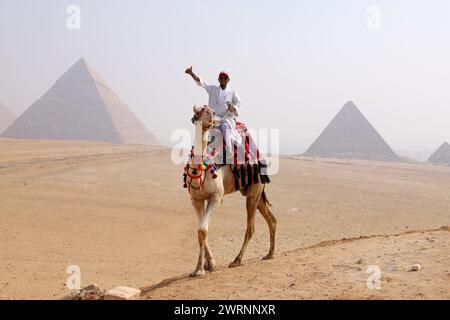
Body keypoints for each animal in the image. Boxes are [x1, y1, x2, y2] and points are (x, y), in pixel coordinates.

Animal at [185, 104, 276, 276]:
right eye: (198, 112)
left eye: (211, 111)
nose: (211, 117)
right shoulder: (196, 200)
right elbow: (201, 230)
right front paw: (207, 265)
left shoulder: (216, 197)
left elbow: (202, 230)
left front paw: (200, 269)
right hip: (256, 193)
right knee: (272, 219)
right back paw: (270, 254)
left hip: (254, 191)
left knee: (251, 227)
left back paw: (237, 260)